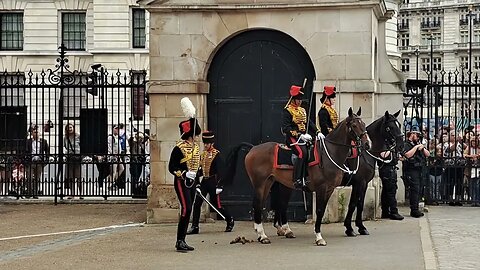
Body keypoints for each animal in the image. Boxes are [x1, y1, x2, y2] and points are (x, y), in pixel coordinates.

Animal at [223, 107, 370, 245]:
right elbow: (320, 210)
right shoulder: (322, 188)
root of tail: (253, 148)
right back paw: (263, 235)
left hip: (269, 182)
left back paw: (267, 233)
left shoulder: (330, 189)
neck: (331, 153)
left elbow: (323, 210)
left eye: (363, 123)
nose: (367, 144)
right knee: (258, 204)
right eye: (354, 125)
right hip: (260, 183)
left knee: (268, 203)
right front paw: (319, 237)